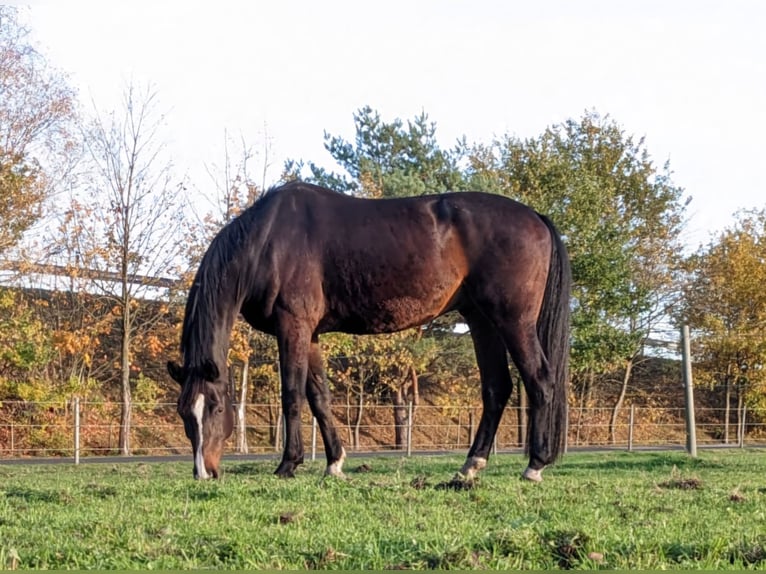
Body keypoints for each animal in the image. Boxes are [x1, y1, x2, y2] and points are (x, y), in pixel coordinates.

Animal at [170, 180, 576, 482]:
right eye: (183, 413)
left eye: (215, 407)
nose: (203, 473)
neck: (269, 240)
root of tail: (535, 217)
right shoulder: (310, 333)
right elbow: (319, 396)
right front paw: (334, 463)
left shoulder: (293, 326)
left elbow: (292, 394)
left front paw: (288, 464)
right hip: (481, 319)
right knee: (496, 389)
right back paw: (471, 465)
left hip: (513, 320)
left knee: (540, 380)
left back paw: (534, 465)